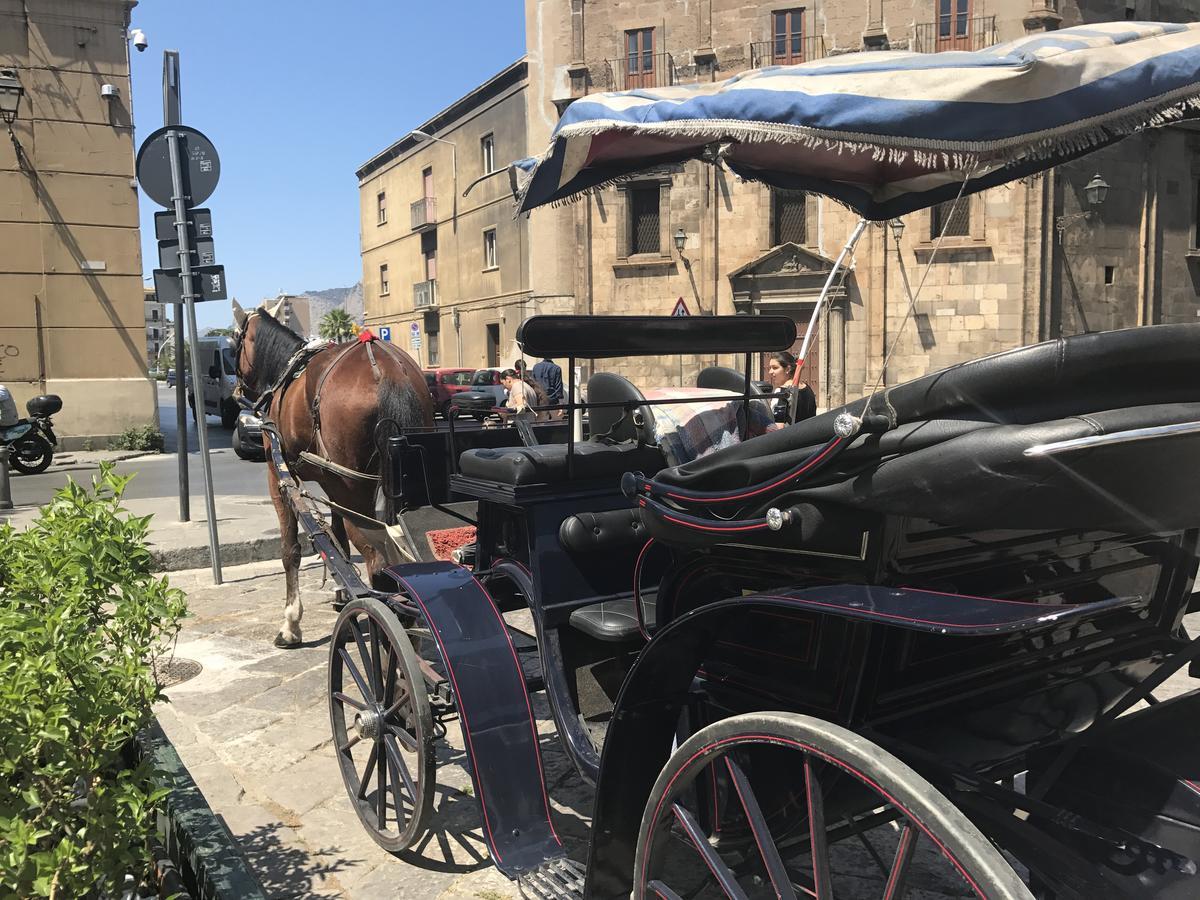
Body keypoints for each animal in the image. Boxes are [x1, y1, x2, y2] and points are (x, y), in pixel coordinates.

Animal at [231, 301, 434, 648]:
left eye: (235, 340)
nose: (238, 389)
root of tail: (387, 373)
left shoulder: (277, 475)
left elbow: (291, 550)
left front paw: (291, 624)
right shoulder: (330, 482)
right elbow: (337, 540)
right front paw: (342, 596)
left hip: (353, 488)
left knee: (379, 560)